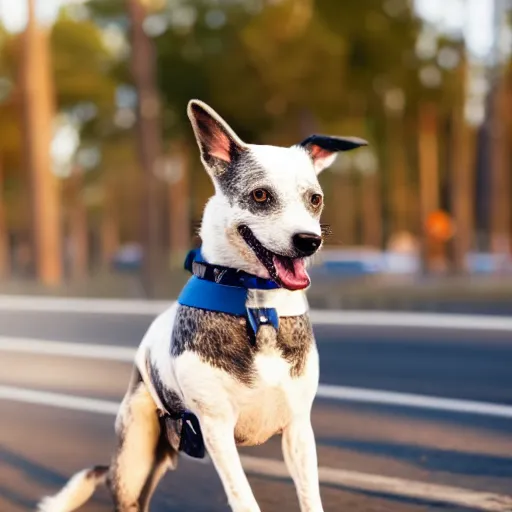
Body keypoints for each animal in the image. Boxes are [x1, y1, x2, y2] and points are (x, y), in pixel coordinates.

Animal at [39, 100, 368, 512]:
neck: (257, 307)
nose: (309, 241)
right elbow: (244, 498)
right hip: (133, 461)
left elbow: (310, 497)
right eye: (261, 196)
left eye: (315, 198)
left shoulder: (298, 431)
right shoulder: (216, 428)